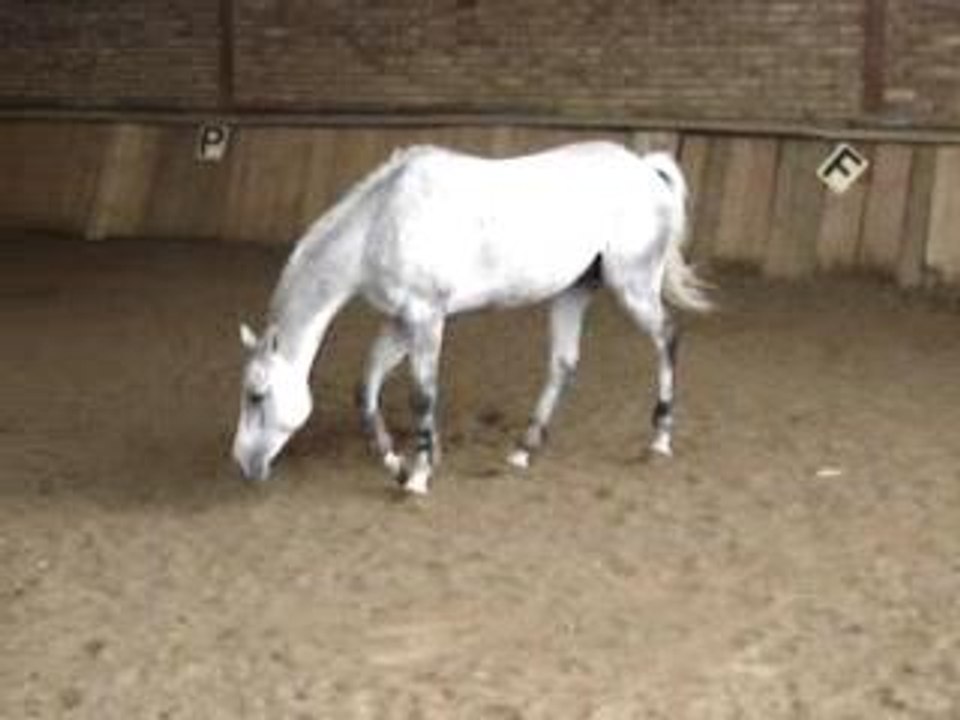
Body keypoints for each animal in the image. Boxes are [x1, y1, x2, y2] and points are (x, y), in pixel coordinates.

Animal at [232, 140, 710, 494]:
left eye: (256, 395)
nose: (242, 464)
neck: (382, 223)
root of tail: (645, 169)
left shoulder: (425, 318)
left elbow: (422, 395)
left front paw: (418, 476)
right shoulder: (401, 323)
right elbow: (366, 390)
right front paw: (396, 461)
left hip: (633, 285)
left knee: (668, 337)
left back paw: (659, 440)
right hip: (573, 292)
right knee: (563, 365)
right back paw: (524, 450)